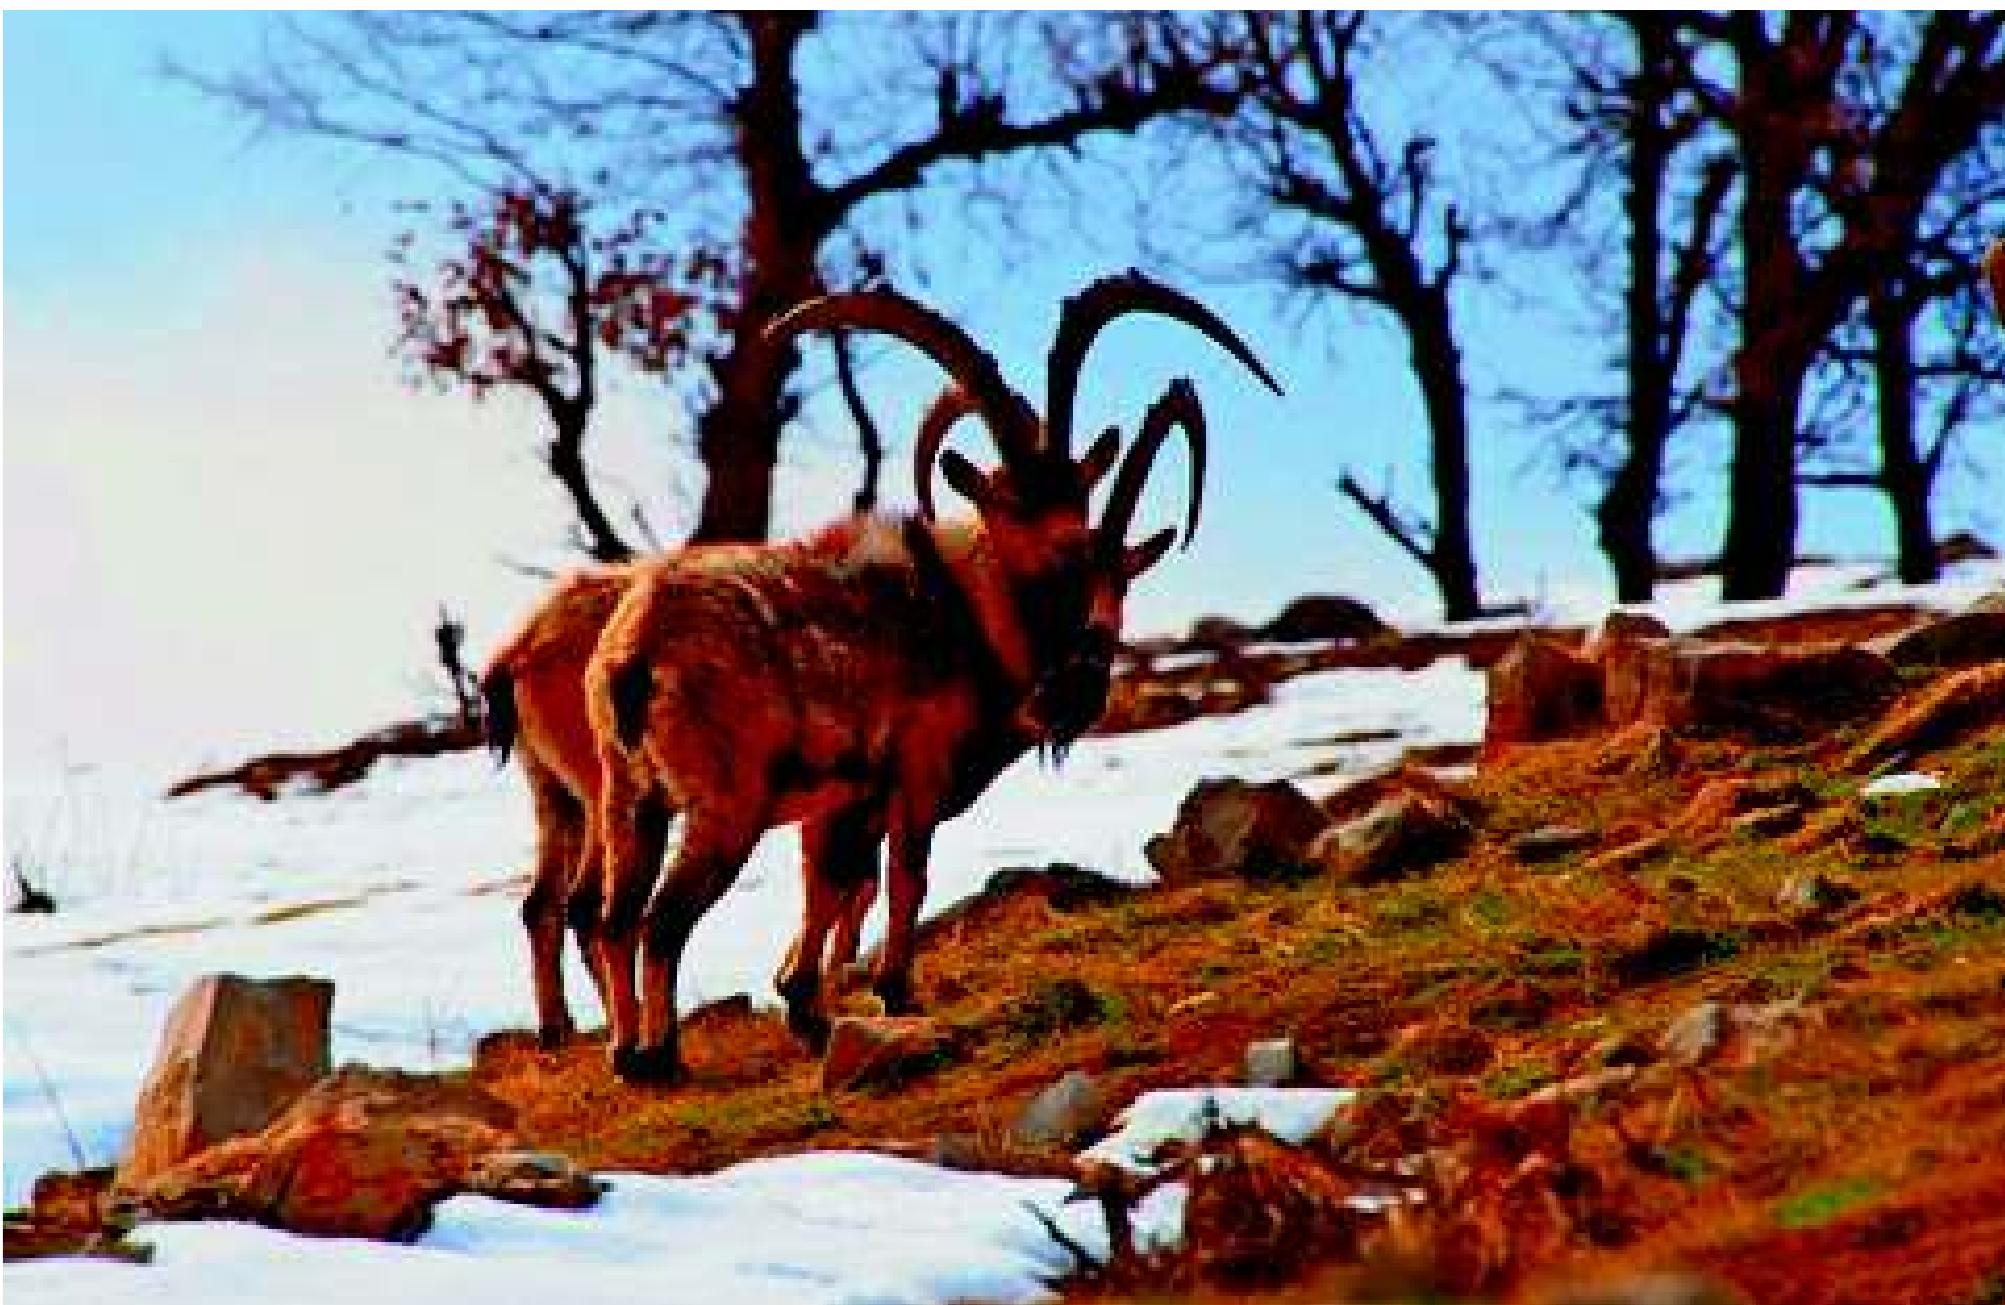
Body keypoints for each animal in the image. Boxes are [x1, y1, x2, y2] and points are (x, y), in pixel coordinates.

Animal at [578, 274, 1280, 1082]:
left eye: (1074, 492)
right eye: (1011, 501)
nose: (1078, 562)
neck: (968, 610)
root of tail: (633, 653)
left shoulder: (845, 799)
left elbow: (832, 884)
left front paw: (807, 1009)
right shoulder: (916, 768)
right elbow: (907, 874)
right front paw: (895, 993)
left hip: (629, 798)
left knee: (614, 919)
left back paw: (627, 1053)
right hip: (726, 805)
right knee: (663, 922)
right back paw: (662, 1057)